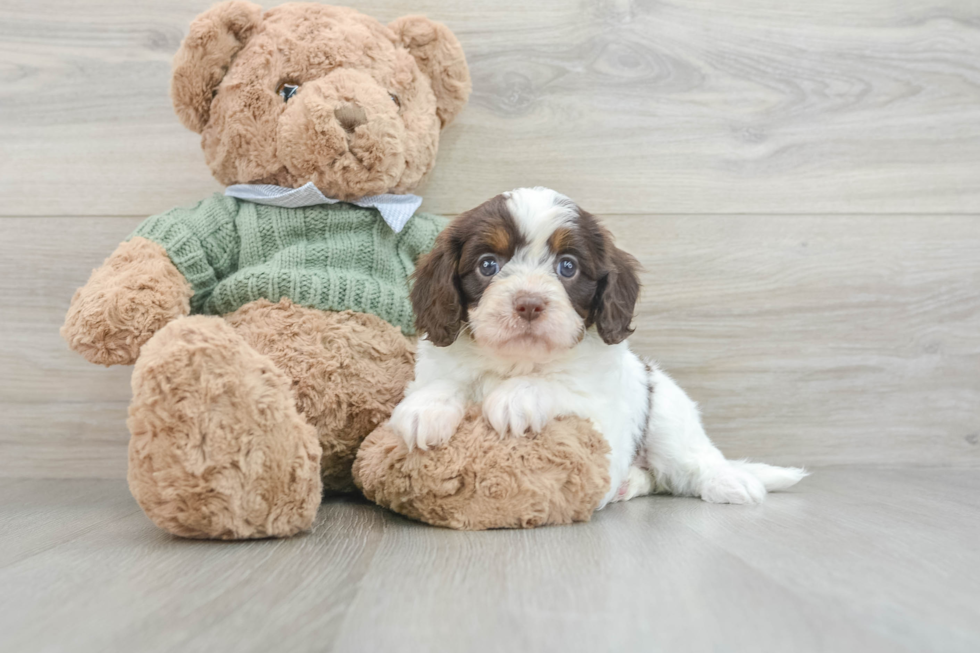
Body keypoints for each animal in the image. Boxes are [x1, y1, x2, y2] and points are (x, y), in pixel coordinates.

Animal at [388, 188, 804, 504]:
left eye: (568, 267)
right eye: (488, 265)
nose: (529, 303)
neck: (517, 362)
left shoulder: (600, 414)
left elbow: (559, 386)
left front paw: (515, 397)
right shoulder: (440, 365)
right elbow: (446, 383)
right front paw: (425, 409)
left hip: (669, 418)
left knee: (691, 463)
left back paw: (730, 481)